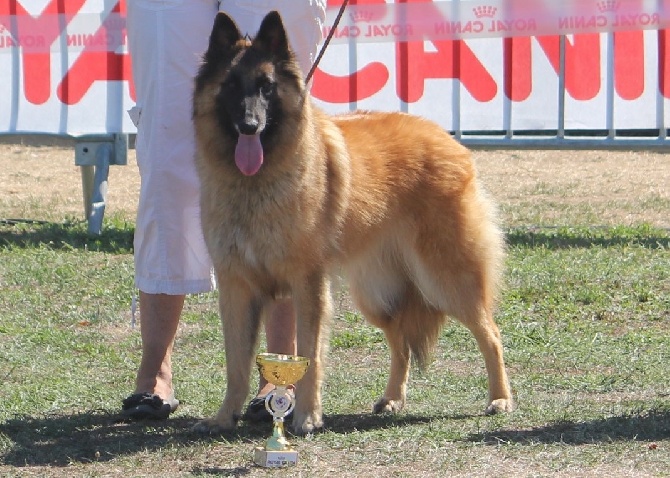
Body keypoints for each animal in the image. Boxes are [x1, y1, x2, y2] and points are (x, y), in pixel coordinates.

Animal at [193, 12, 516, 436]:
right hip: (376, 294)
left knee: (490, 333)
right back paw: (392, 398)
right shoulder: (237, 288)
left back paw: (500, 399)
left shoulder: (307, 286)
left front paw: (307, 418)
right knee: (400, 339)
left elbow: (310, 356)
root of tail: (449, 141)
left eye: (266, 87)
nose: (249, 125)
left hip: (445, 279)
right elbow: (236, 362)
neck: (254, 185)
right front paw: (225, 415)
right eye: (230, 86)